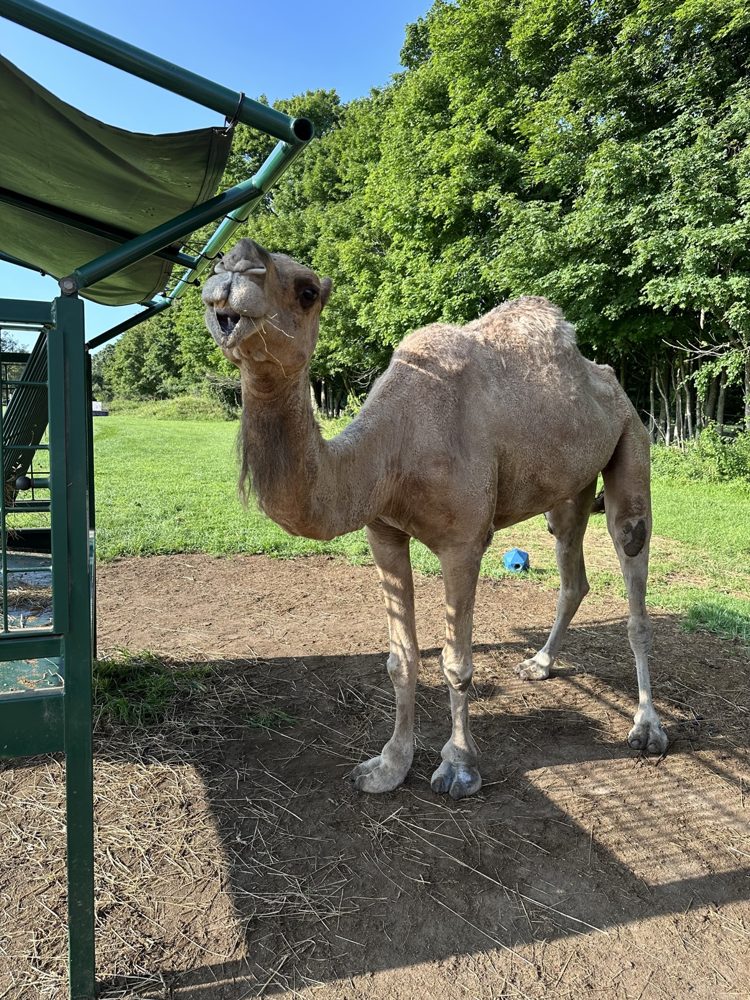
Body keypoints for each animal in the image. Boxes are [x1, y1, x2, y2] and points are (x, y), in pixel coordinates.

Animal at [202, 239, 668, 800]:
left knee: (632, 558)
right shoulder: (383, 532)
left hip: (632, 438)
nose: (234, 267)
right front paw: (388, 765)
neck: (393, 447)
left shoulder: (463, 541)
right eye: (215, 263)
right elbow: (401, 659)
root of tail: (607, 379)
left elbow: (456, 664)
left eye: (308, 291)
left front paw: (459, 766)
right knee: (572, 568)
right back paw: (538, 664)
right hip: (570, 485)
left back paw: (647, 729)